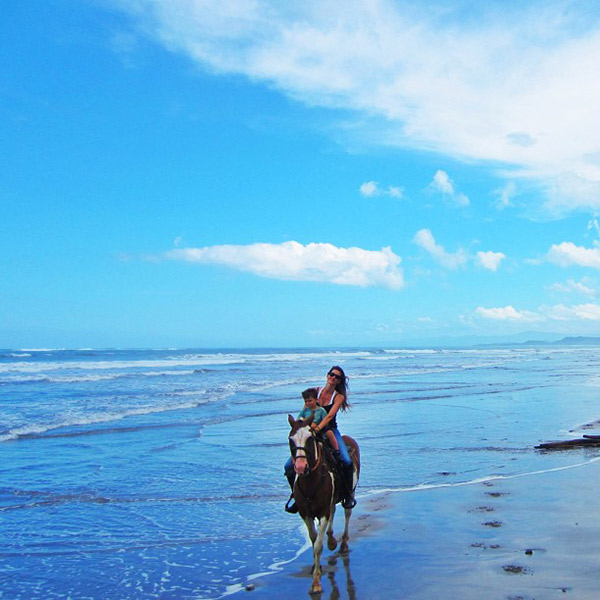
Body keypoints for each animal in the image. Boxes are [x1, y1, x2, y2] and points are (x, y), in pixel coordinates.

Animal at [288, 412, 358, 596]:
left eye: (310, 439)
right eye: (291, 439)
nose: (300, 467)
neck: (310, 481)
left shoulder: (323, 512)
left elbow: (318, 545)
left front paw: (316, 583)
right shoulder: (306, 514)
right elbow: (313, 540)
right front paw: (315, 568)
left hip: (351, 492)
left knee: (347, 513)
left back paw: (343, 544)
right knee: (334, 511)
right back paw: (332, 540)